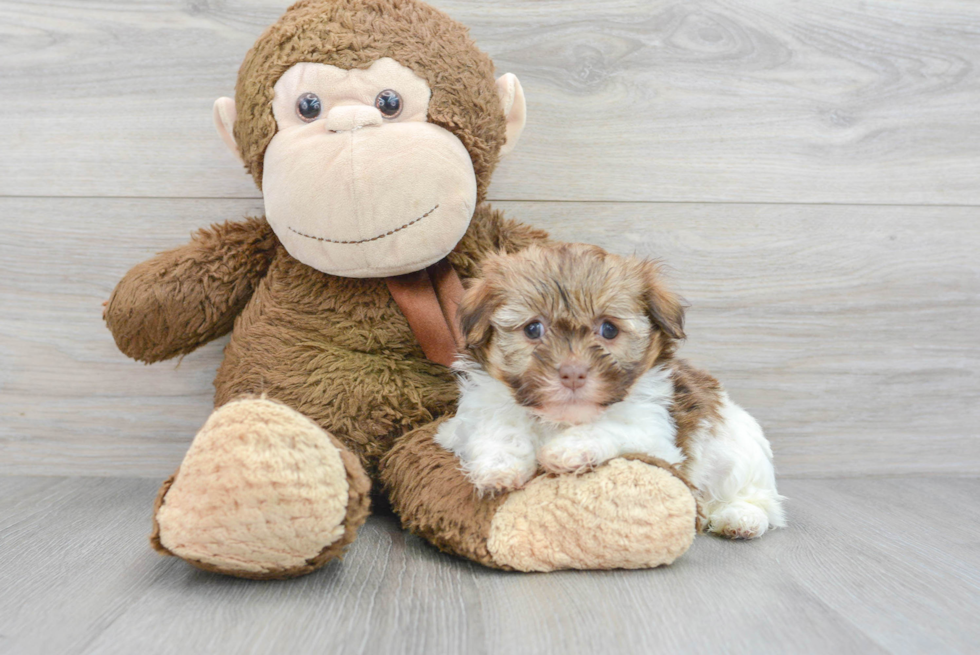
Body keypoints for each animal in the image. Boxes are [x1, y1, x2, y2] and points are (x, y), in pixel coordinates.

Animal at [436, 243, 788, 540]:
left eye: (608, 329)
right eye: (533, 329)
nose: (573, 373)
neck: (561, 420)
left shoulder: (656, 438)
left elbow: (611, 427)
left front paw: (568, 450)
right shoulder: (468, 421)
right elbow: (498, 431)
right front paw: (498, 469)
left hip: (739, 454)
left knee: (759, 498)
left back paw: (740, 518)